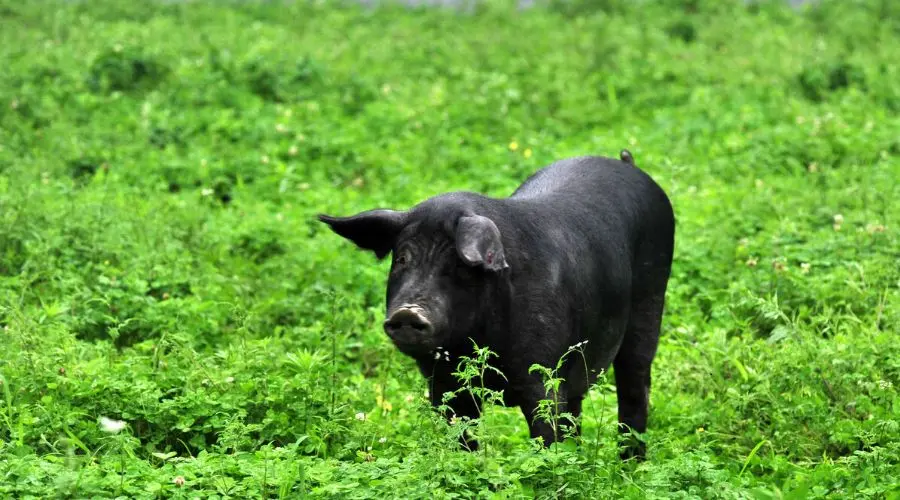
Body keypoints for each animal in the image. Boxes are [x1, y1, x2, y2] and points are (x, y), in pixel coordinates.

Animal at [318, 150, 676, 458]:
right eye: (402, 259)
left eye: (460, 265)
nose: (408, 312)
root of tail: (630, 165)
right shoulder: (445, 386)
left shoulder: (542, 374)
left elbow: (546, 438)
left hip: (651, 301)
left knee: (635, 388)